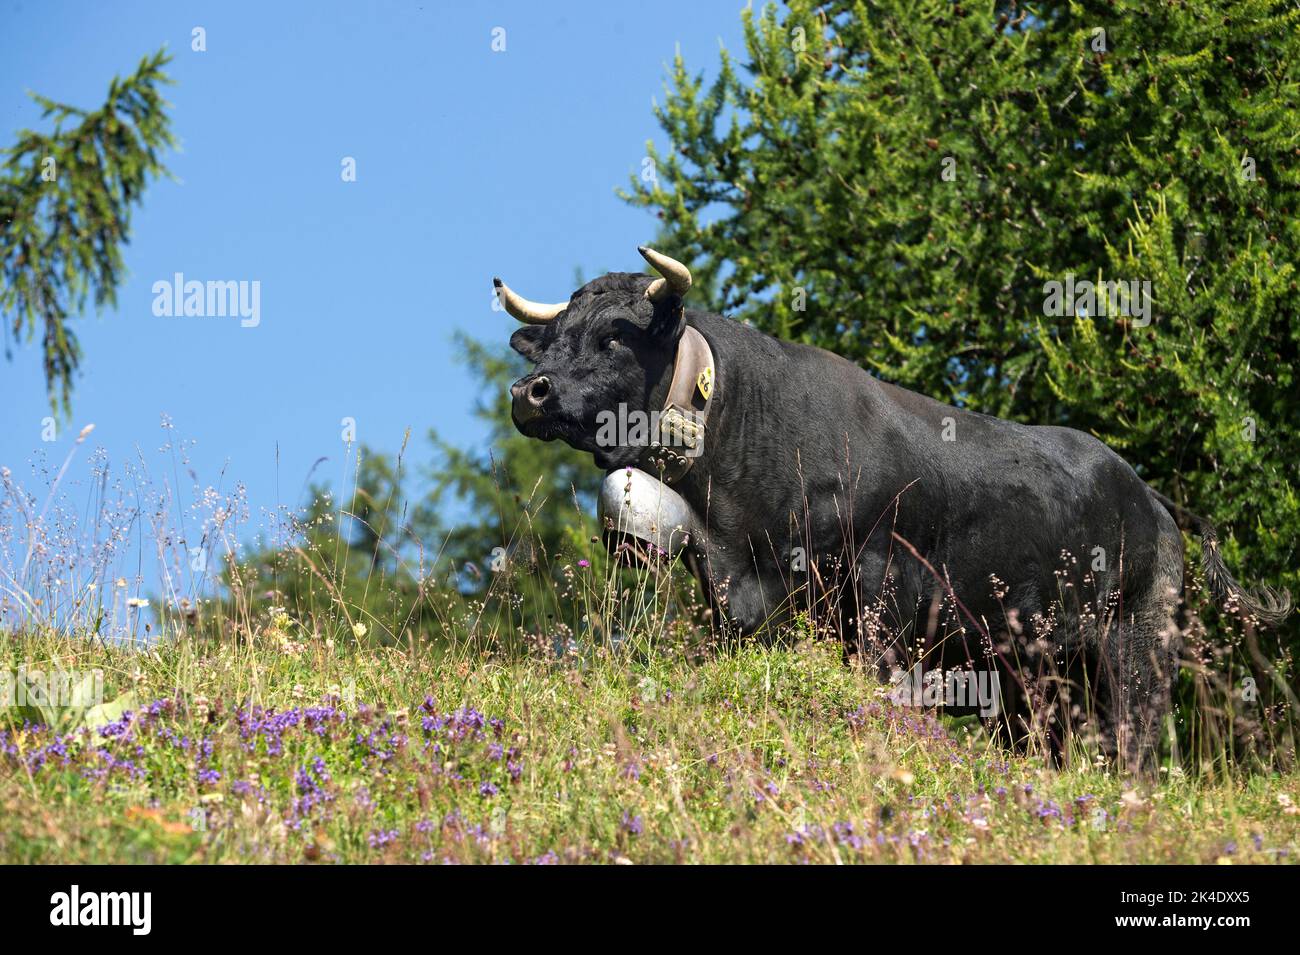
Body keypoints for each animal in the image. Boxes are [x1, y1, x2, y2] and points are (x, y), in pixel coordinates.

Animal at [495, 246, 1290, 770]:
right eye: (554, 336)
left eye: (613, 335)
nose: (529, 390)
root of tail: (1148, 495)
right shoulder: (733, 595)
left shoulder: (879, 585)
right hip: (1037, 678)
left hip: (1137, 645)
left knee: (1137, 745)